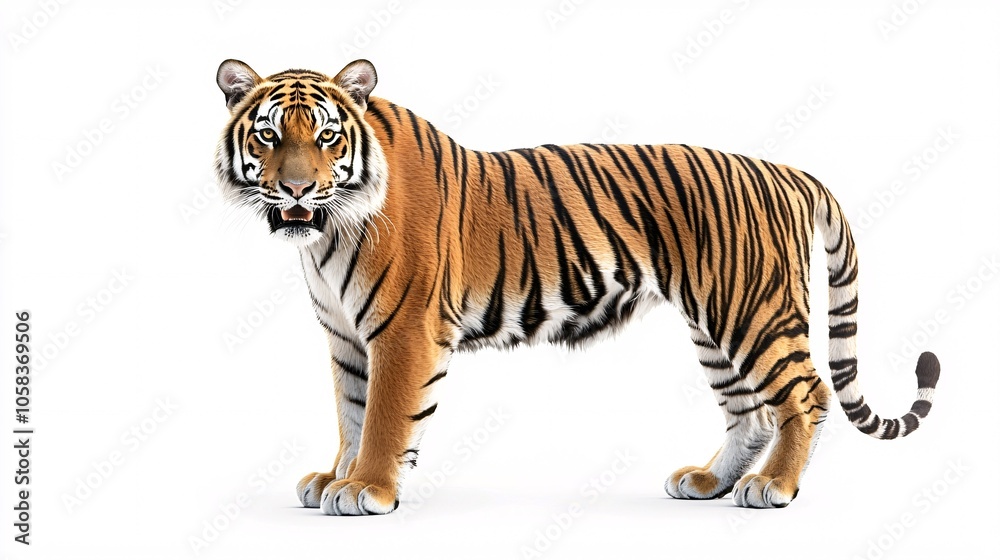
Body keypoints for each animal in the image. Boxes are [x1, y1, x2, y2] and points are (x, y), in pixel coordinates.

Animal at [214, 58, 941, 515]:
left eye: (328, 138)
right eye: (269, 135)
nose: (297, 188)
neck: (328, 232)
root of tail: (785, 170)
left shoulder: (403, 330)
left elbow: (387, 417)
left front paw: (367, 489)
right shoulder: (345, 337)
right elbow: (351, 412)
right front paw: (335, 476)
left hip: (752, 310)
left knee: (805, 395)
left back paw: (776, 488)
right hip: (713, 323)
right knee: (751, 411)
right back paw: (710, 481)